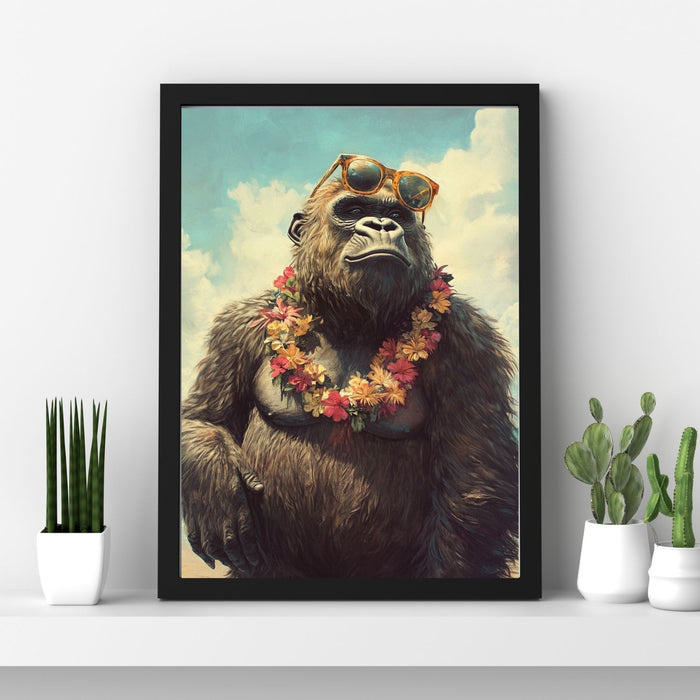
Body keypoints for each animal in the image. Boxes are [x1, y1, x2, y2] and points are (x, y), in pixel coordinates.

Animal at [181, 166, 519, 579]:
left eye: (399, 214)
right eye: (355, 209)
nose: (384, 224)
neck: (346, 316)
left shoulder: (470, 341)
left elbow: (474, 479)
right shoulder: (236, 328)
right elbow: (204, 417)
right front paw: (214, 486)